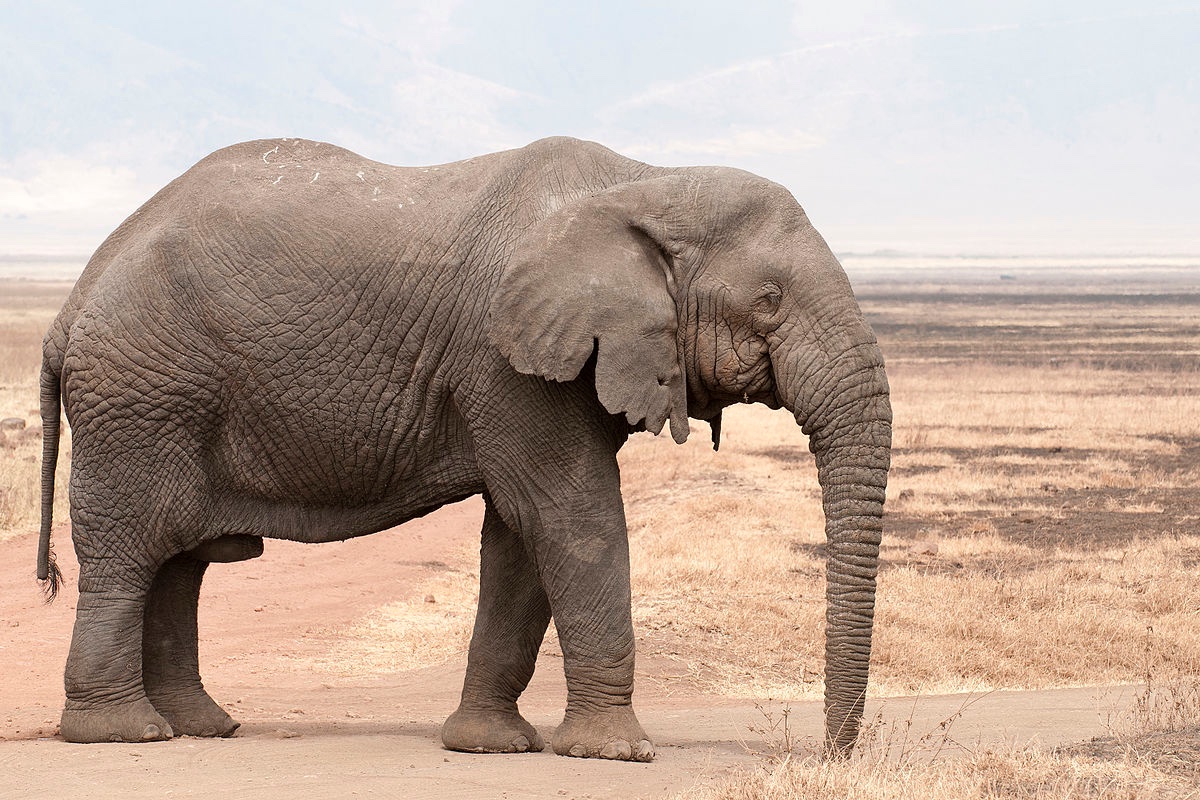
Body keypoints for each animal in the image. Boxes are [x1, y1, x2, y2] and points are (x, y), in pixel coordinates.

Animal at [37, 136, 891, 759]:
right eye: (769, 301)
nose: (829, 756)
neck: (645, 181)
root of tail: (70, 305)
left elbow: (519, 539)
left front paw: (490, 746)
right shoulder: (506, 359)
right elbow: (571, 516)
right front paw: (617, 755)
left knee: (179, 563)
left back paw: (200, 728)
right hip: (140, 399)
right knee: (130, 553)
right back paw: (122, 733)